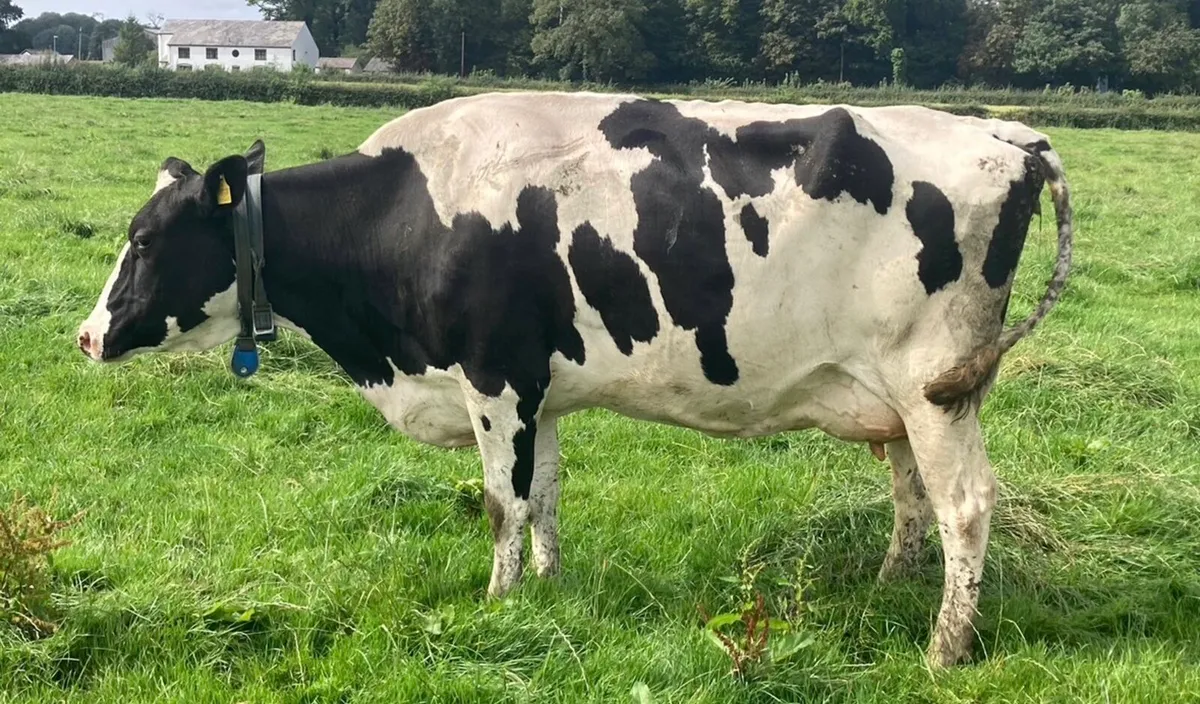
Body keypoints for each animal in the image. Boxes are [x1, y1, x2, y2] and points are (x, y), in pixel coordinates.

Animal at [76, 91, 1073, 667]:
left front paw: (497, 602)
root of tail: (1008, 133)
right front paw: (550, 591)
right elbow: (546, 493)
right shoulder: (537, 389)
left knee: (966, 503)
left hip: (937, 384)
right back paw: (891, 590)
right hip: (900, 399)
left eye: (147, 240)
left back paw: (946, 647)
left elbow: (500, 503)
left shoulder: (493, 377)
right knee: (913, 495)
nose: (86, 336)